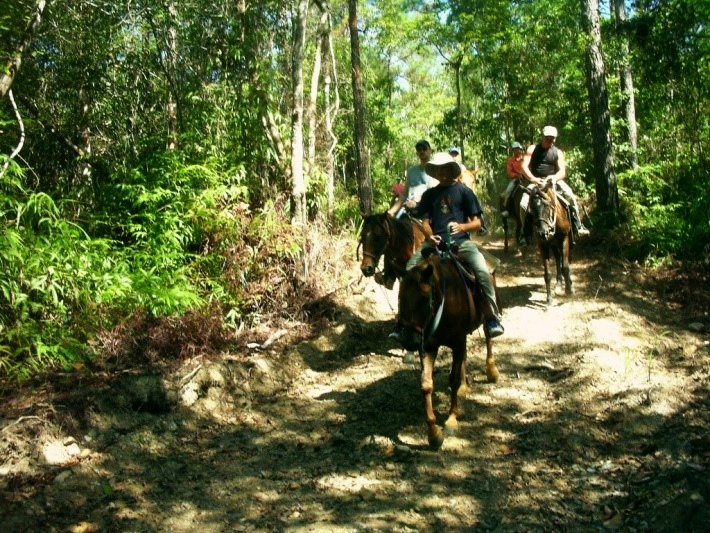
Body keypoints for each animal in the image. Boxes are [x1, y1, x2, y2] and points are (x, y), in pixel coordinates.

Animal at [394, 249, 500, 448]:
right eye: (400, 299)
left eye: (424, 300)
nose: (410, 342)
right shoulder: (428, 346)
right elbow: (426, 384)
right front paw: (433, 434)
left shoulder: (457, 341)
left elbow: (453, 380)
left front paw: (451, 421)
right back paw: (465, 387)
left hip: (485, 315)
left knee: (489, 339)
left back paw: (491, 371)